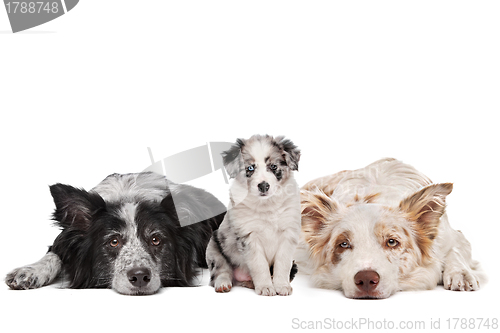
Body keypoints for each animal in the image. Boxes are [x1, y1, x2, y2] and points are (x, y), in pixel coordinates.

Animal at [5, 172, 225, 294]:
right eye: (113, 241)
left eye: (155, 240)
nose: (139, 277)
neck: (129, 195)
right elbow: (53, 254)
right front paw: (29, 271)